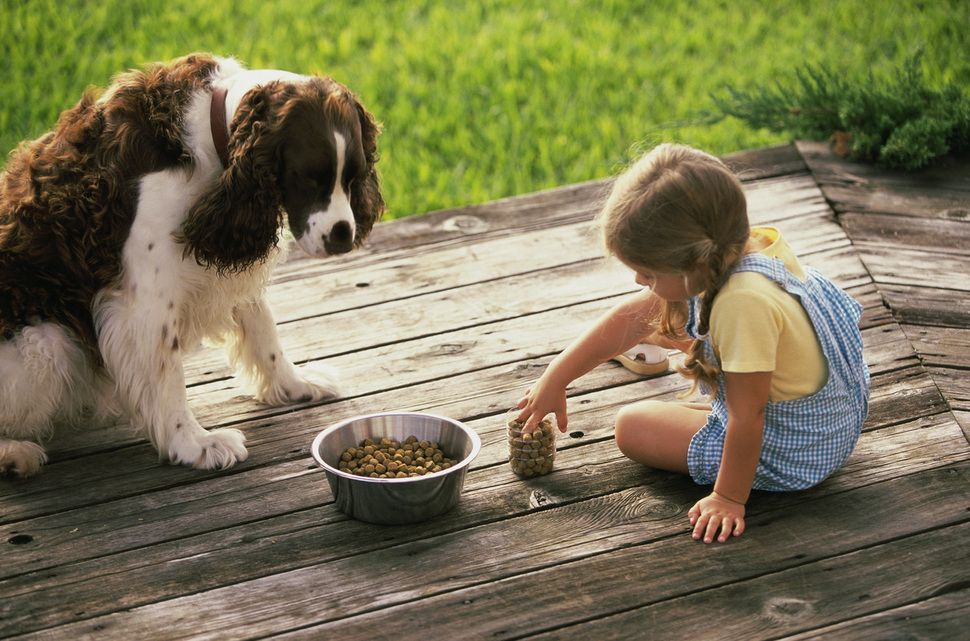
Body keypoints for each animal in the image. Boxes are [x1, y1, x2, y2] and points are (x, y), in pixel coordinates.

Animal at [0, 53, 386, 476]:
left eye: (352, 176)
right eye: (309, 177)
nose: (343, 234)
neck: (211, 134)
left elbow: (263, 327)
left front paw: (294, 384)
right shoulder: (144, 298)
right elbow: (167, 375)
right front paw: (194, 444)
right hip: (51, 344)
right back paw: (14, 453)